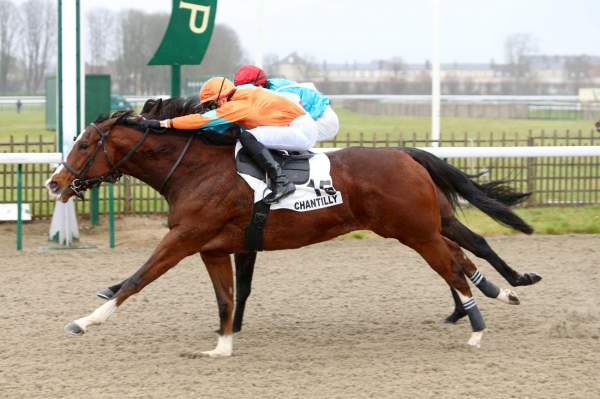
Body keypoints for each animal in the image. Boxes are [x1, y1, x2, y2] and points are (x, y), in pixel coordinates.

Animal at [47, 104, 536, 358]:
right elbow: (226, 296)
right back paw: (501, 294)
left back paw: (477, 324)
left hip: (416, 231)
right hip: (426, 226)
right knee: (462, 255)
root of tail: (405, 154)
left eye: (84, 144)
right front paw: (222, 345)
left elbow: (137, 279)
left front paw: (85, 321)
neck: (195, 169)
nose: (54, 182)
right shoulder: (211, 247)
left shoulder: (183, 239)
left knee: (454, 264)